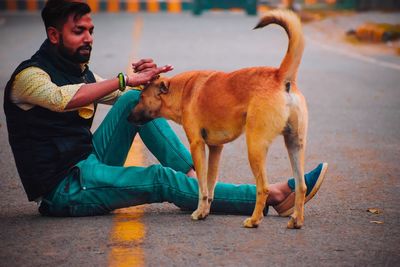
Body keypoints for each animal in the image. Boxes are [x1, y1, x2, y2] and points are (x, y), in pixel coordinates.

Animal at [128, 9, 306, 229]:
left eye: (140, 98)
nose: (127, 117)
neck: (182, 90)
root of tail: (280, 76)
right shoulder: (215, 148)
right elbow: (211, 184)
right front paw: (205, 212)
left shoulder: (197, 145)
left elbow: (202, 186)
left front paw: (198, 212)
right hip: (294, 144)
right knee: (301, 186)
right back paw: (296, 220)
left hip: (255, 146)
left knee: (263, 187)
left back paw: (254, 220)